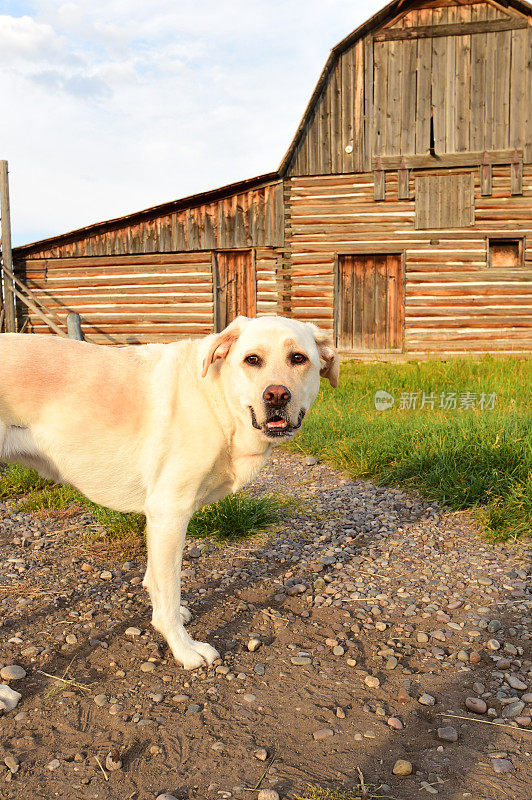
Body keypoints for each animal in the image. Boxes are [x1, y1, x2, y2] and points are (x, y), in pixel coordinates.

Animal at [0, 316, 338, 664]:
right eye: (252, 359)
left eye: (298, 358)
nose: (277, 395)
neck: (216, 399)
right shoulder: (170, 513)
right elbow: (170, 594)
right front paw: (184, 647)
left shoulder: (160, 520)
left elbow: (157, 582)